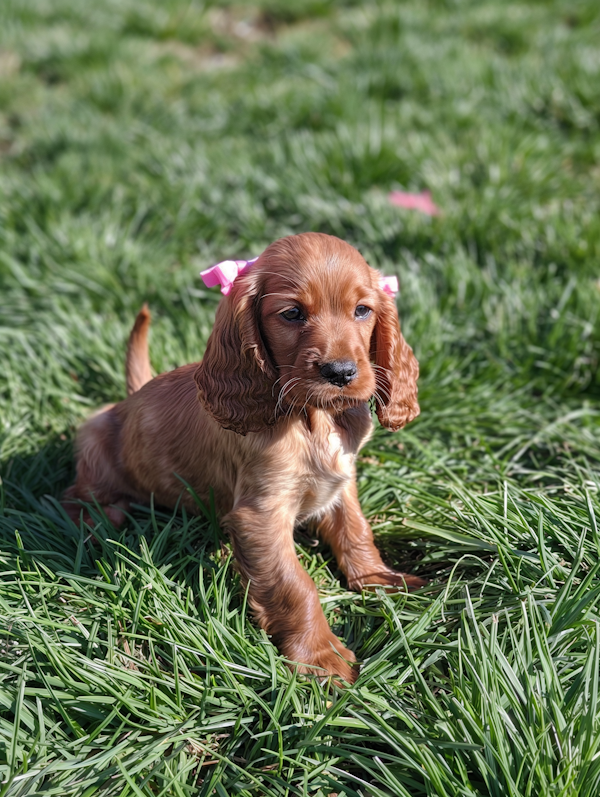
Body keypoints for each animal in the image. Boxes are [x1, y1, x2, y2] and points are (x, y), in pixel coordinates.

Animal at [64, 232, 422, 684]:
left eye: (362, 310)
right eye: (292, 313)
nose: (341, 372)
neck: (313, 420)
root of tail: (129, 399)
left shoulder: (340, 482)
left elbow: (356, 531)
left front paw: (382, 579)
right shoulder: (261, 514)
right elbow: (295, 583)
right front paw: (320, 657)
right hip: (93, 437)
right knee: (74, 493)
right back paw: (100, 518)